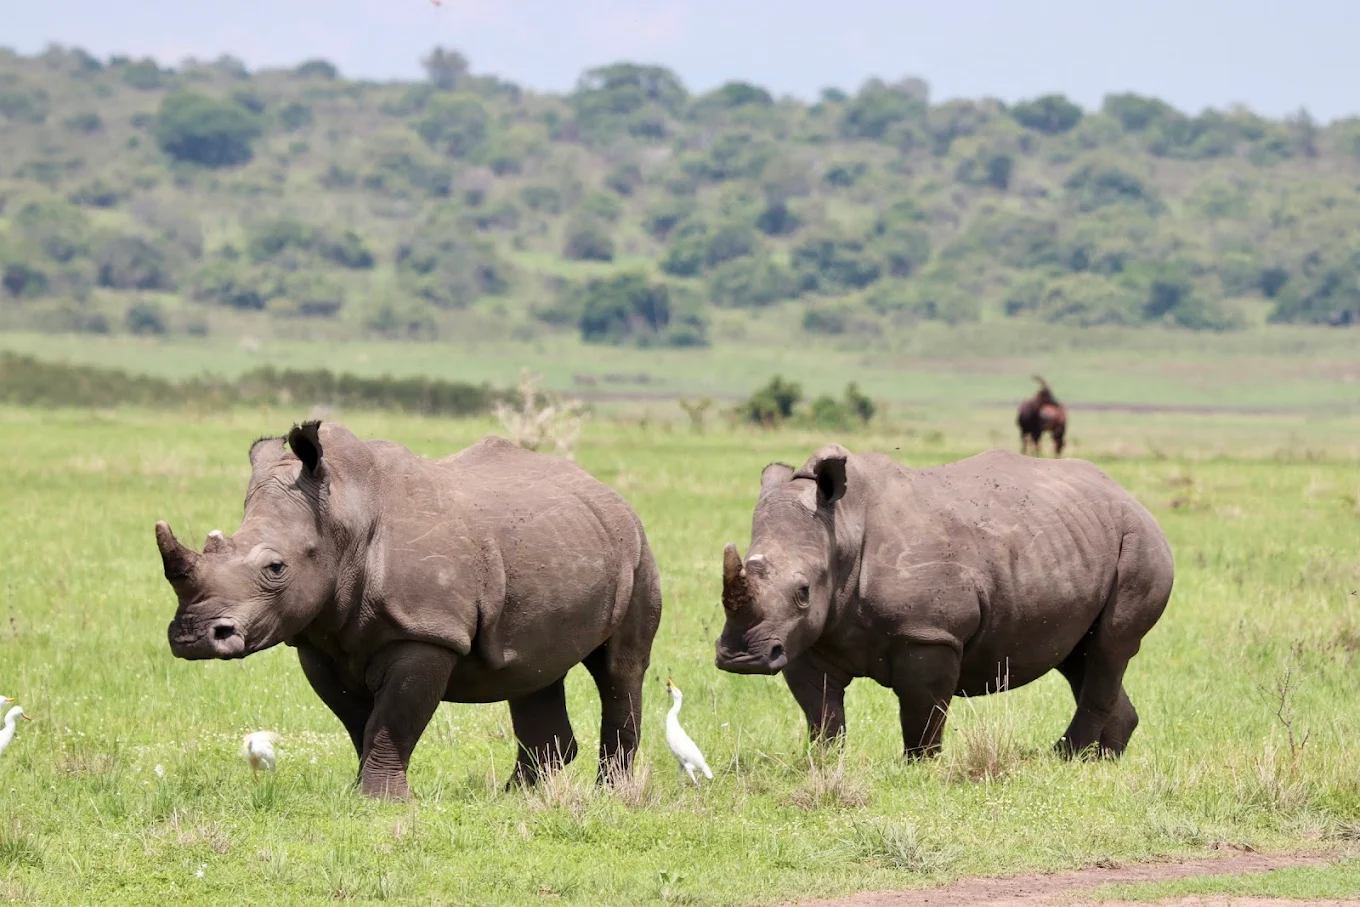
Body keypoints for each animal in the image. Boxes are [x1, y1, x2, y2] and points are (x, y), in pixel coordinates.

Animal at [156, 422, 662, 799]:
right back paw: (513, 797)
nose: (193, 637)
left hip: (637, 548)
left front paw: (381, 801)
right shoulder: (318, 639)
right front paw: (362, 793)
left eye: (276, 568)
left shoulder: (426, 631)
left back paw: (611, 795)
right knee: (532, 668)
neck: (343, 515)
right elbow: (359, 721)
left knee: (620, 668)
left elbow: (392, 720)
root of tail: (607, 491)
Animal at [715, 444, 1173, 759]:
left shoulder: (928, 634)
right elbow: (821, 712)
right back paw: (1102, 759)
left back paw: (1066, 758)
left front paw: (919, 767)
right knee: (1081, 655)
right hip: (1079, 539)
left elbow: (923, 711)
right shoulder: (804, 638)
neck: (841, 530)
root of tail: (1131, 498)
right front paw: (825, 762)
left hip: (1139, 543)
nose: (740, 659)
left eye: (803, 591)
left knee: (1110, 647)